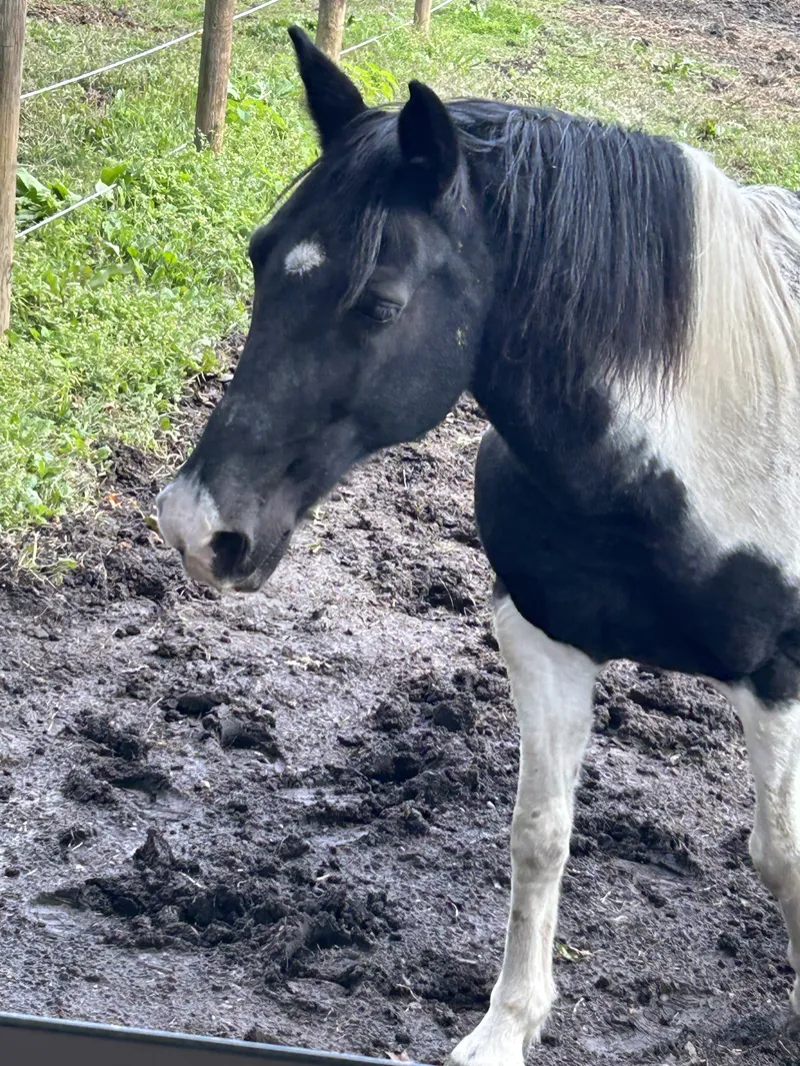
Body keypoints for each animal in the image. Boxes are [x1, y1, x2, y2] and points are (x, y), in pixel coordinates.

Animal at [156, 25, 800, 1065]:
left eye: (378, 303)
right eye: (258, 258)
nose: (195, 527)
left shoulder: (777, 673)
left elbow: (780, 855)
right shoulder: (542, 641)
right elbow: (539, 833)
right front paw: (506, 1026)